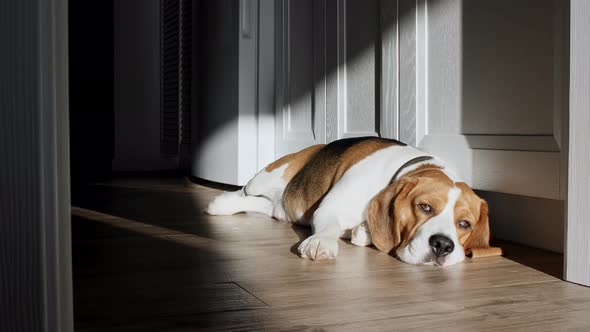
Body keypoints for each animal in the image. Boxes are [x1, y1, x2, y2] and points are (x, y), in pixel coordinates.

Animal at [206, 136, 502, 266]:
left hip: (282, 207)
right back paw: (220, 203)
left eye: (464, 224)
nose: (443, 246)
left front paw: (362, 232)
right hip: (267, 176)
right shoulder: (330, 207)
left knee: (269, 207)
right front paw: (321, 243)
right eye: (424, 207)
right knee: (244, 191)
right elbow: (328, 228)